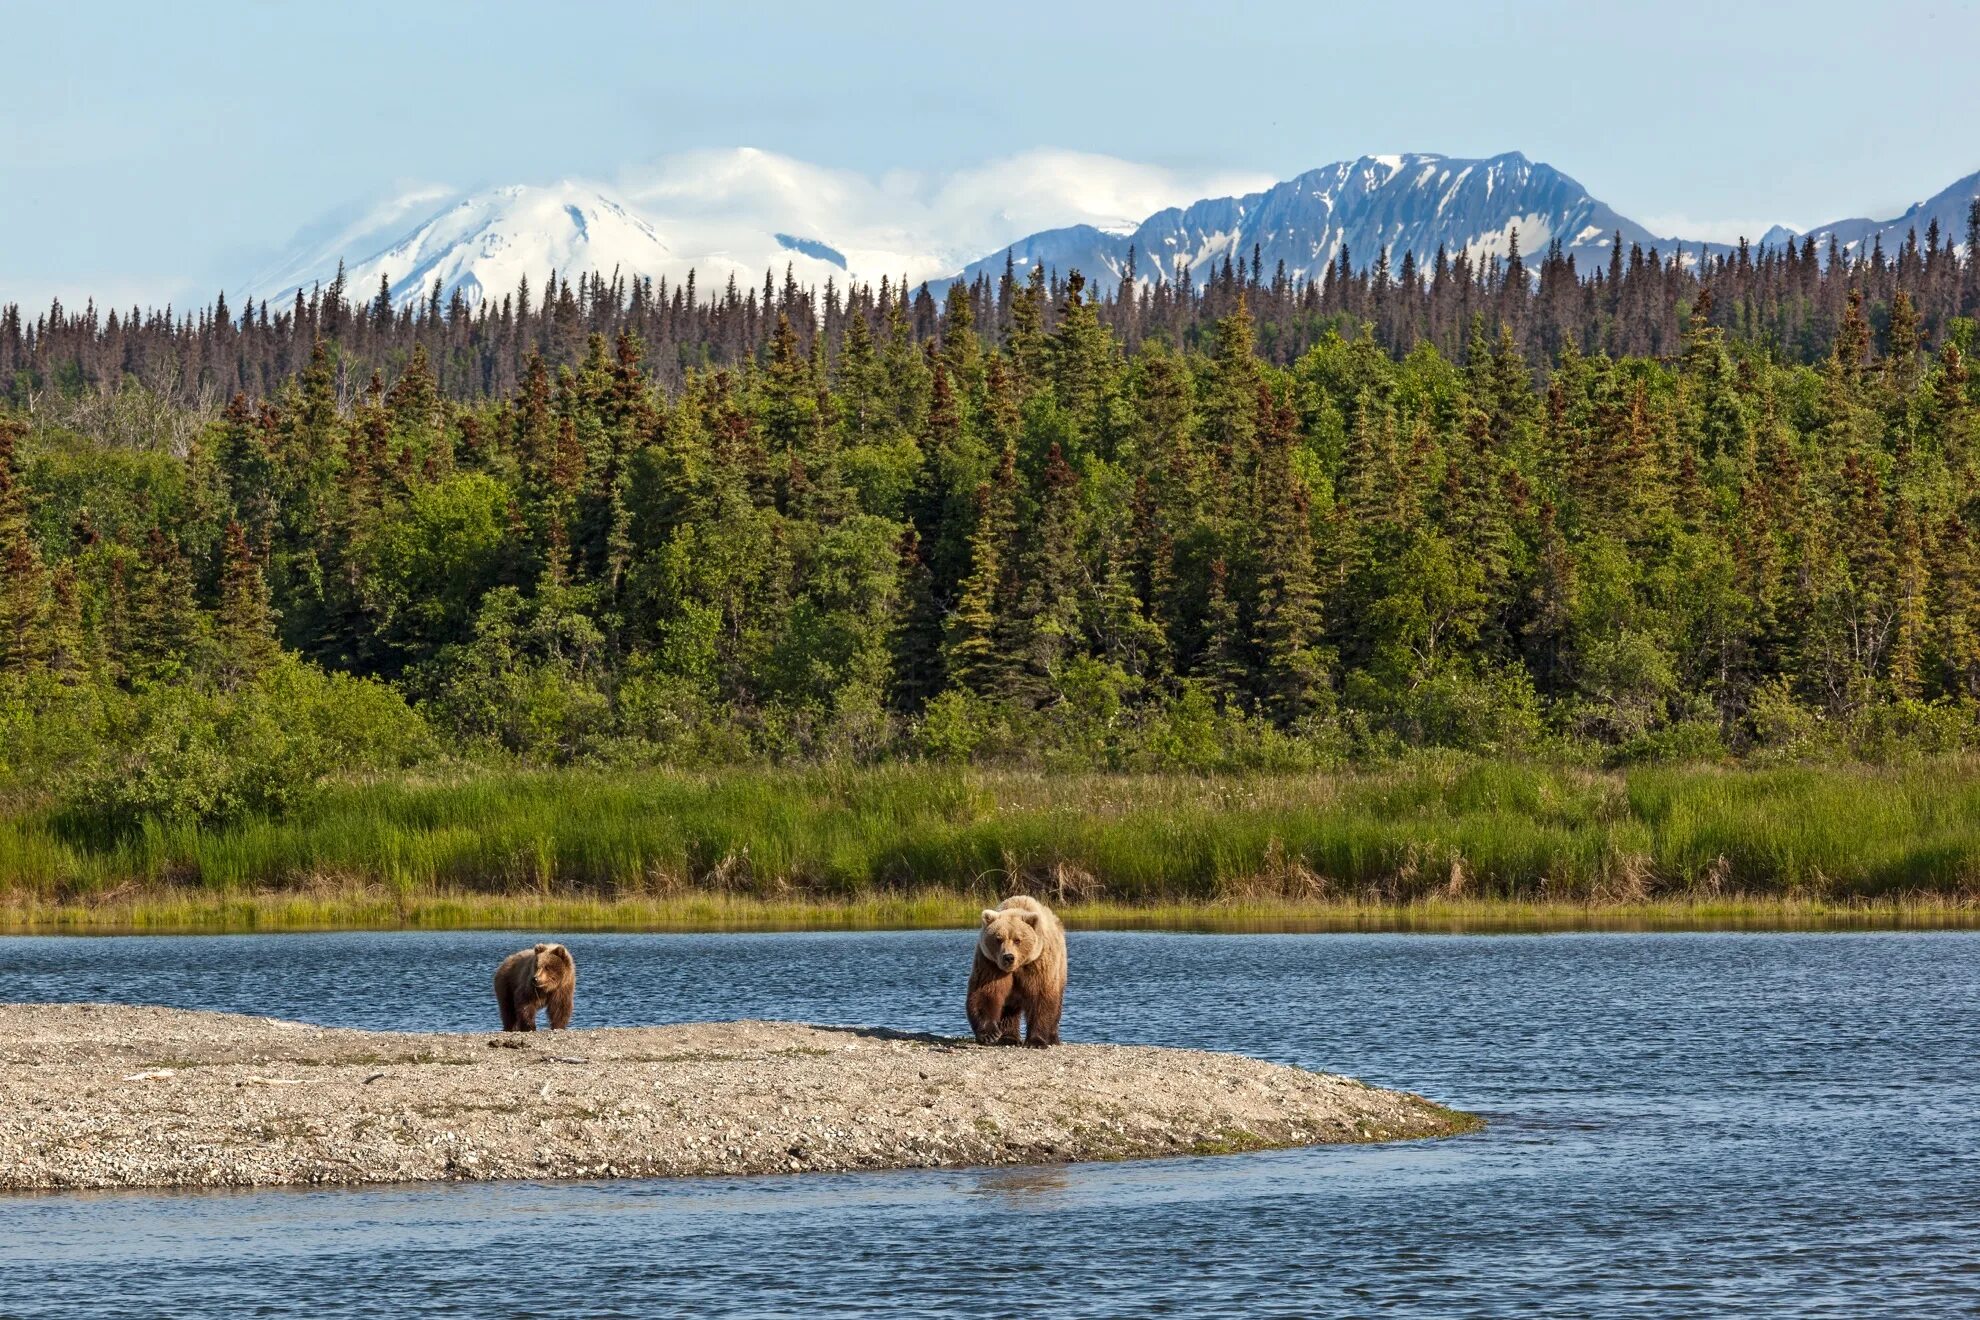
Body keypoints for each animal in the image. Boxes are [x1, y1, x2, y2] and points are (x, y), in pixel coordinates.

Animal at [962, 894, 1061, 1044]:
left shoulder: (1038, 963)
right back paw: (1008, 1038)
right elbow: (985, 992)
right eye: (998, 939)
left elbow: (1041, 995)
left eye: (1017, 940)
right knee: (1009, 1009)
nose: (1008, 957)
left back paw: (1053, 1038)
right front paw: (990, 1034)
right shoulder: (989, 963)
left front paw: (1036, 1041)